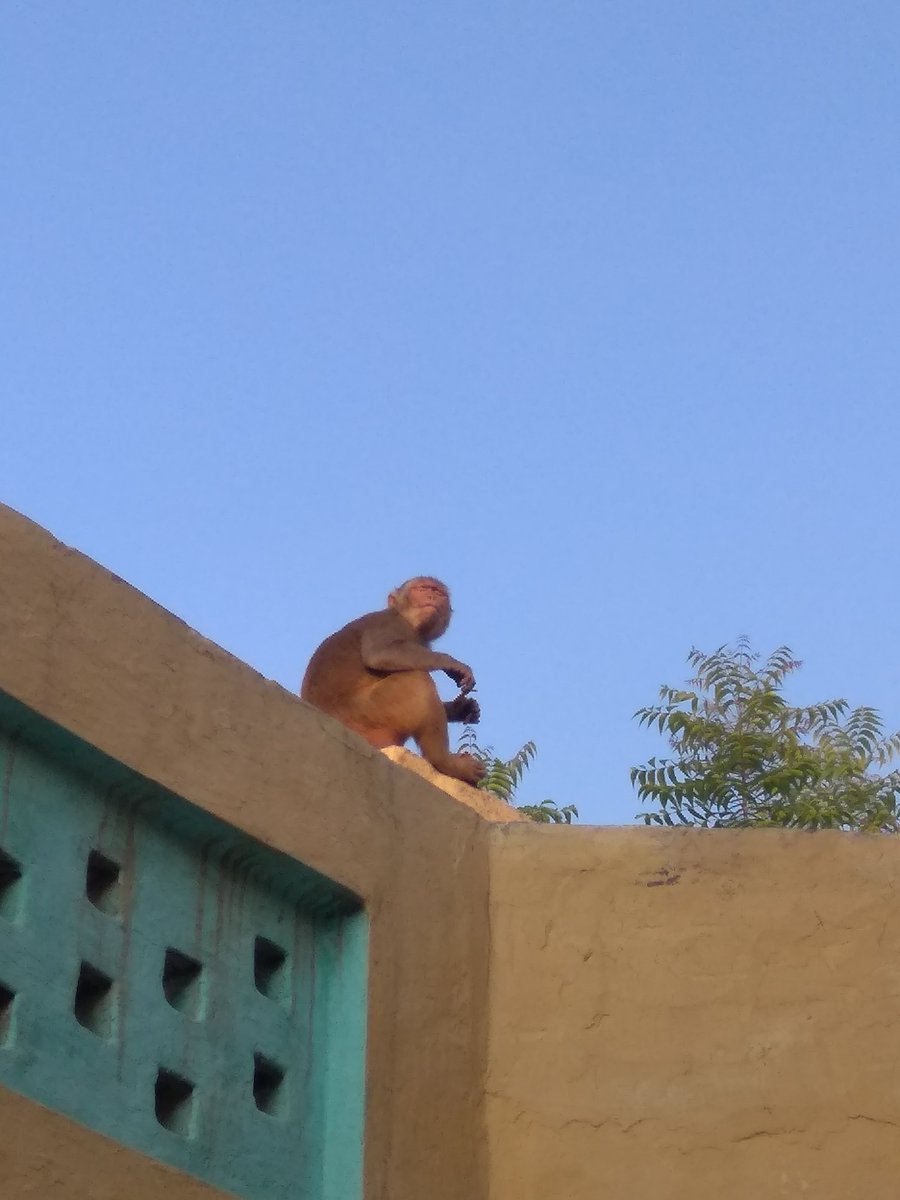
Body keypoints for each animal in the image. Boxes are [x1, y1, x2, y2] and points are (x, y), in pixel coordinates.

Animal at [301, 577, 487, 786]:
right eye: (422, 588)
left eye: (438, 592)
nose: (432, 596)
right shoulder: (390, 623)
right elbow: (380, 654)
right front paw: (449, 662)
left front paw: (461, 708)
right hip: (367, 713)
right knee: (416, 679)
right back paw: (445, 762)